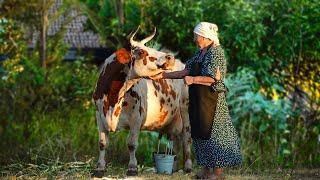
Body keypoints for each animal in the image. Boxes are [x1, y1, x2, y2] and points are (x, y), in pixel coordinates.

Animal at [92, 27, 192, 178]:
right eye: (141, 52)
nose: (170, 57)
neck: (112, 101)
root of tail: (182, 64)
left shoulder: (136, 118)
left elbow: (131, 144)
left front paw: (132, 168)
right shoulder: (99, 116)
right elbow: (102, 143)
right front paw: (99, 168)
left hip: (186, 111)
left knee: (186, 138)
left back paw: (188, 167)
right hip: (173, 120)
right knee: (175, 143)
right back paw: (172, 169)